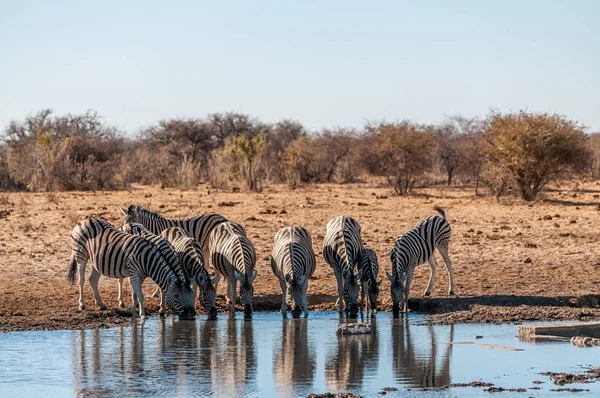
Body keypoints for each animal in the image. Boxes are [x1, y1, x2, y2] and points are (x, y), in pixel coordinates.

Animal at [67, 216, 195, 318]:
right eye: (176, 295)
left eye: (189, 295)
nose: (187, 314)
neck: (148, 259)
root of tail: (86, 220)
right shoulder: (135, 272)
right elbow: (140, 294)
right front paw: (143, 314)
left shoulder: (139, 274)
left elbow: (135, 293)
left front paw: (134, 310)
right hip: (81, 254)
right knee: (81, 280)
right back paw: (82, 304)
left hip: (97, 259)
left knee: (93, 279)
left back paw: (101, 304)